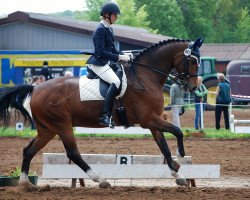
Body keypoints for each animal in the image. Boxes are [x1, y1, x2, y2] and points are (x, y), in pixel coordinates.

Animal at [0, 38, 204, 189]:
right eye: (193, 61)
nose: (193, 87)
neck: (146, 76)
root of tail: (35, 88)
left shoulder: (154, 121)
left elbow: (164, 146)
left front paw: (178, 174)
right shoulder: (149, 120)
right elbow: (177, 132)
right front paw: (181, 155)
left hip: (47, 129)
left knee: (29, 150)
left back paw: (25, 183)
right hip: (62, 125)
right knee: (73, 153)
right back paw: (101, 180)